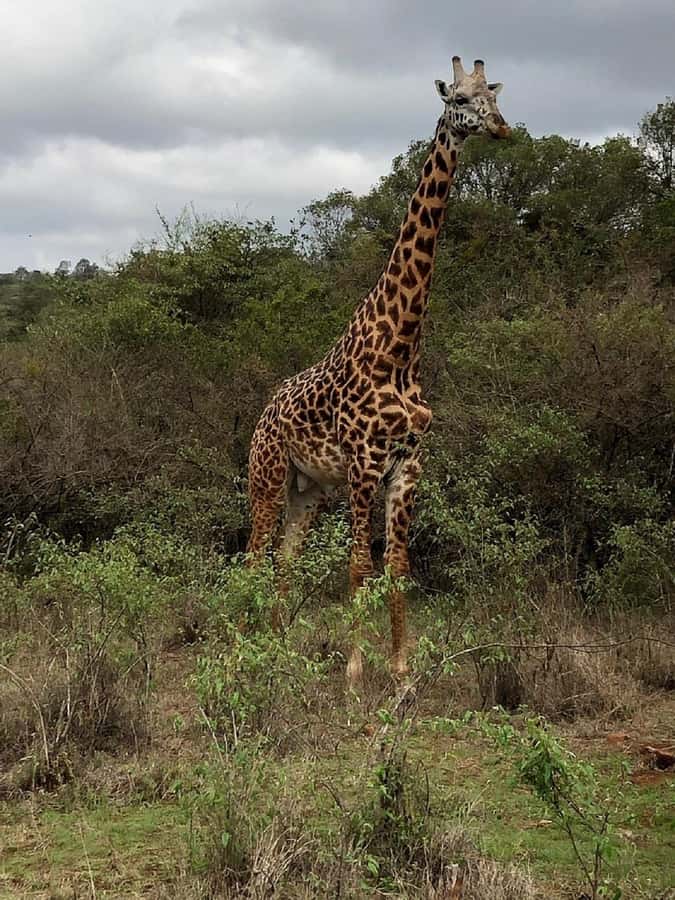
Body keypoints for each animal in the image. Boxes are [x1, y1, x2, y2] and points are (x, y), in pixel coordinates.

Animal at [247, 56, 510, 685]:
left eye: (495, 97)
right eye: (458, 99)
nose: (502, 130)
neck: (402, 346)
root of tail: (263, 413)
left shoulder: (407, 466)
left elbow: (397, 567)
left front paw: (402, 671)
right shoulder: (363, 466)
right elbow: (357, 570)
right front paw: (353, 676)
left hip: (307, 489)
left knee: (285, 557)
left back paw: (278, 647)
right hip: (266, 476)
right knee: (252, 555)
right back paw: (239, 644)